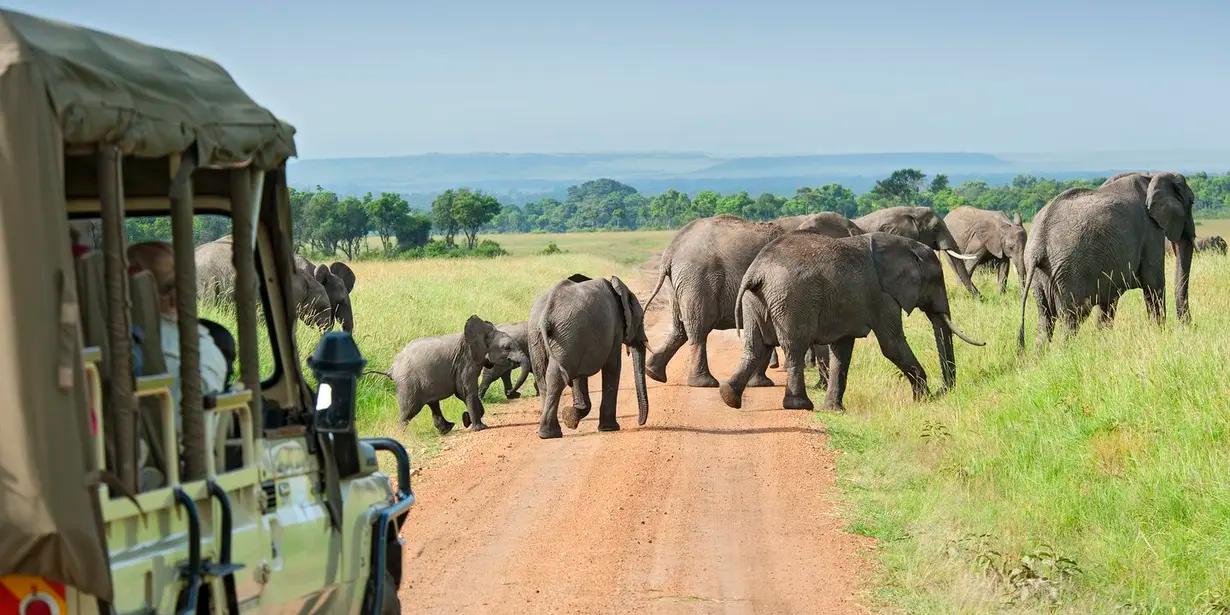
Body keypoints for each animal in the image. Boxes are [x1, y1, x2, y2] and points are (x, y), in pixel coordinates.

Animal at [388, 317, 523, 432]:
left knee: (433, 404)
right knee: (409, 411)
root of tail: (392, 368)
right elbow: (465, 391)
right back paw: (401, 435)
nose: (511, 393)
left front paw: (466, 419)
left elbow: (462, 393)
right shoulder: (466, 361)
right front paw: (479, 428)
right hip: (408, 384)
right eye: (507, 348)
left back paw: (447, 429)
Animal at [528, 274, 654, 437]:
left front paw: (570, 417)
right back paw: (550, 433)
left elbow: (579, 377)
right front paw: (609, 428)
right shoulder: (614, 330)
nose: (640, 422)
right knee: (557, 377)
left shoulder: (581, 342)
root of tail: (546, 313)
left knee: (544, 378)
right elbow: (613, 367)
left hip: (543, 336)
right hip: (565, 335)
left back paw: (547, 433)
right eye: (641, 320)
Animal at [639, 214, 811, 386]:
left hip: (677, 283)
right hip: (698, 280)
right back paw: (704, 383)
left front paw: (760, 383)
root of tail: (671, 250)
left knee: (679, 328)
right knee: (698, 328)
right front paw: (763, 383)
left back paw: (653, 373)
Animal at [1013, 172, 1195, 346]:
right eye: (1192, 202)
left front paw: (1103, 341)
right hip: (1069, 273)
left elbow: (1108, 302)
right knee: (1072, 318)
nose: (1187, 326)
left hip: (1040, 275)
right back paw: (1065, 352)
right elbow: (1154, 284)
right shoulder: (1150, 231)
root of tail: (1038, 245)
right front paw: (1158, 334)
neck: (1151, 176)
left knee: (1045, 320)